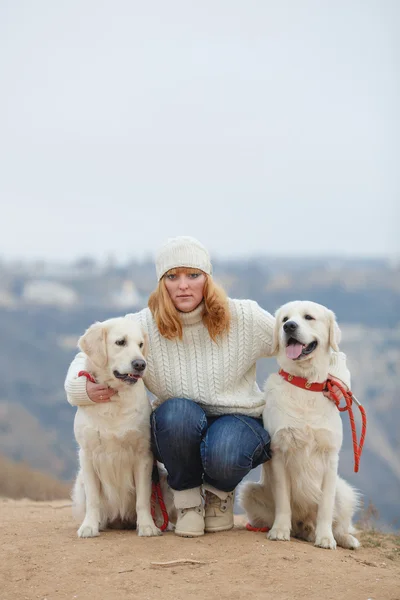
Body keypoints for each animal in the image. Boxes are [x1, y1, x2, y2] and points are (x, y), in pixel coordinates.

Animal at [71, 316, 173, 536]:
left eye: (140, 344)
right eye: (120, 342)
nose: (140, 364)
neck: (115, 399)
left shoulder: (143, 456)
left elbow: (143, 499)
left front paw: (147, 526)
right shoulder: (87, 456)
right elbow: (93, 499)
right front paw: (89, 526)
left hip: (162, 478)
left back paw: (163, 524)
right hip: (80, 481)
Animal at [239, 300, 360, 548]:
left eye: (308, 317)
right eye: (285, 319)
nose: (289, 327)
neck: (304, 384)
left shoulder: (330, 456)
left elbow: (325, 507)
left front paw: (326, 538)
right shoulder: (279, 451)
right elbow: (283, 501)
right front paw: (279, 530)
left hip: (344, 491)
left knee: (339, 522)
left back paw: (342, 538)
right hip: (250, 491)